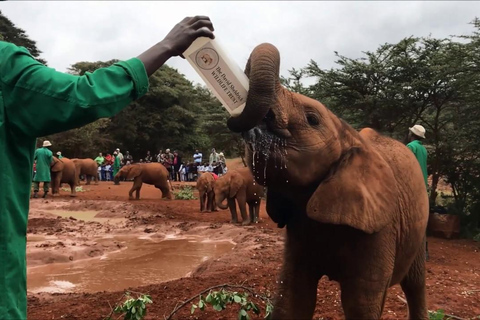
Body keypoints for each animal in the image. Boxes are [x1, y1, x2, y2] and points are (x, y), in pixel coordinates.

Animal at [227, 43, 430, 318]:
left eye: (312, 119)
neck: (352, 137)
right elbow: (293, 297)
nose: (233, 116)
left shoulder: (382, 225)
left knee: (415, 284)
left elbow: (360, 304)